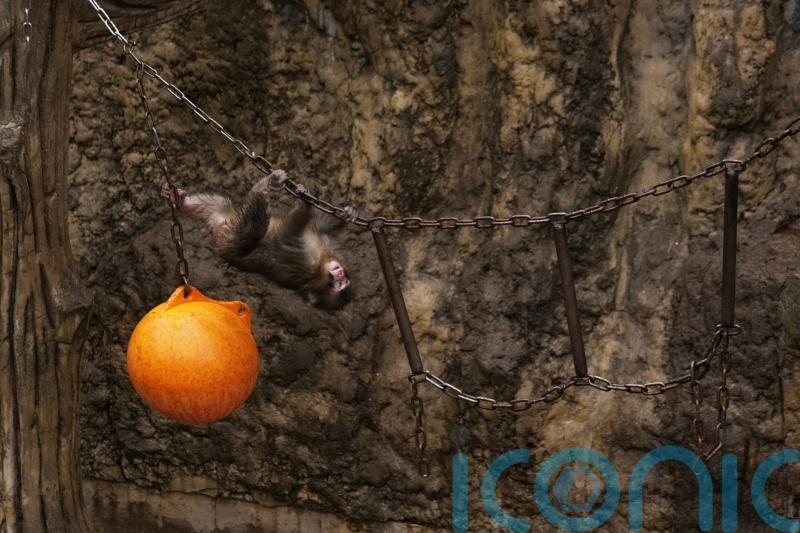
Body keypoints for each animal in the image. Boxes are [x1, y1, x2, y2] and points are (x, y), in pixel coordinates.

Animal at [163, 171, 355, 311]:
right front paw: (347, 214)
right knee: (219, 204)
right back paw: (179, 200)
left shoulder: (307, 264)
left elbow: (289, 233)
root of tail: (221, 227)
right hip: (228, 219)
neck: (322, 264)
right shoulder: (323, 248)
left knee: (252, 230)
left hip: (230, 240)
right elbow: (319, 224)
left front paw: (305, 204)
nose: (341, 274)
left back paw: (262, 187)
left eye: (341, 284)